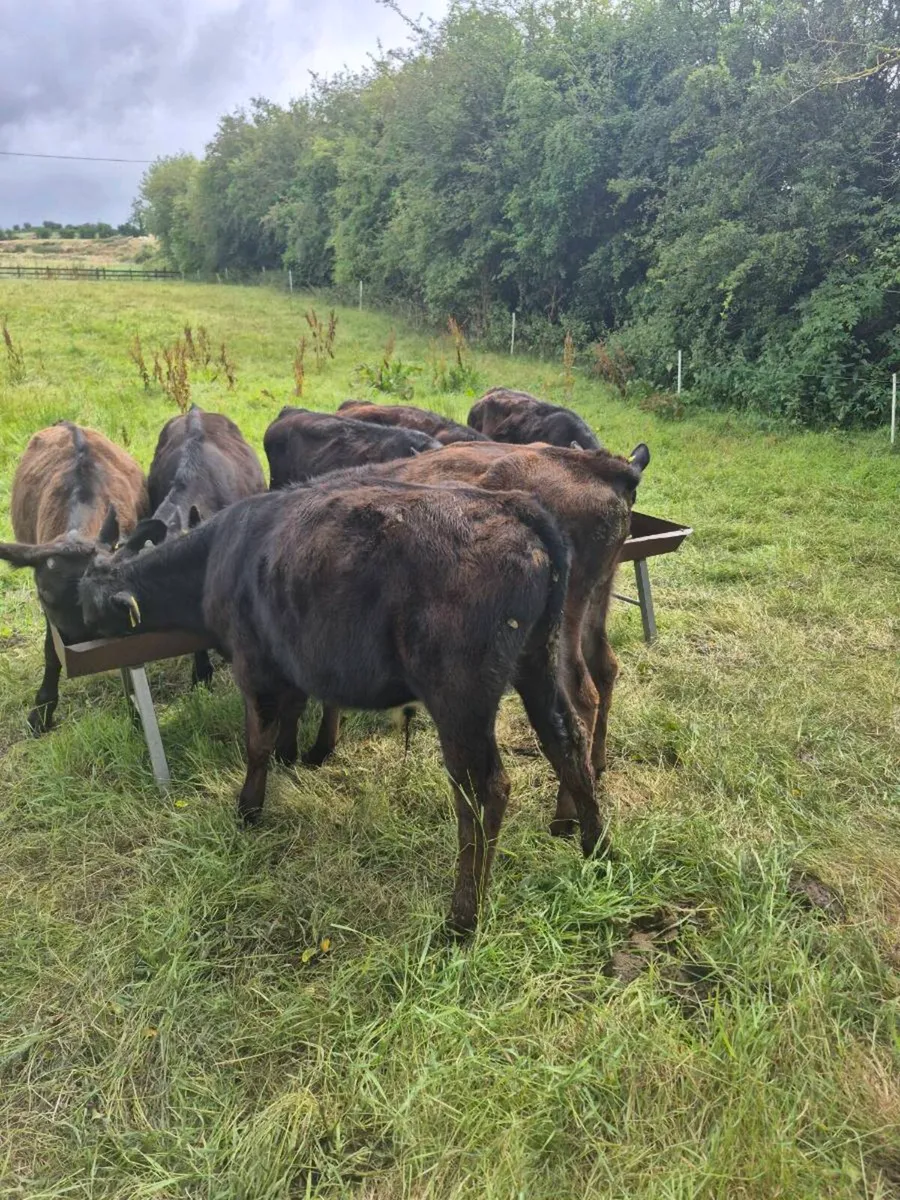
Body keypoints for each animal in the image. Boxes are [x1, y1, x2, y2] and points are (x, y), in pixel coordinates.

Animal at [72, 479, 602, 935]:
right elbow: (292, 716)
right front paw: (296, 758)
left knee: (482, 789)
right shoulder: (294, 661)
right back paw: (595, 846)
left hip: (460, 695)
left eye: (86, 604)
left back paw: (462, 919)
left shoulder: (255, 664)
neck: (216, 555)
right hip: (538, 659)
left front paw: (248, 808)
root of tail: (514, 506)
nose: (70, 641)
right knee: (567, 738)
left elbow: (256, 743)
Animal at [290, 440, 650, 838]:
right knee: (606, 667)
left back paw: (563, 819)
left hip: (562, 625)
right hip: (597, 598)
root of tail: (608, 469)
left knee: (582, 697)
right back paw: (598, 768)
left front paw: (320, 749)